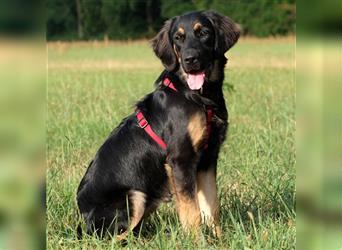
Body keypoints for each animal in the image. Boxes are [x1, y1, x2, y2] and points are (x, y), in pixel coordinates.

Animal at [76, 10, 239, 239]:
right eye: (178, 38)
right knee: (114, 238)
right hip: (135, 196)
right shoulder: (181, 159)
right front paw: (197, 241)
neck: (198, 97)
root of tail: (82, 220)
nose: (190, 60)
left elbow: (211, 207)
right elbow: (192, 212)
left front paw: (220, 240)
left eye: (204, 33)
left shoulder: (208, 159)